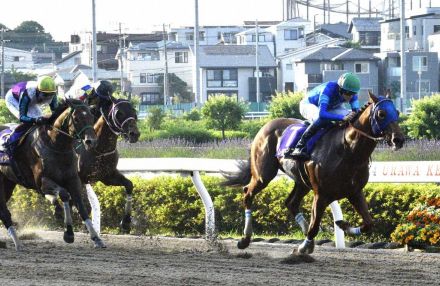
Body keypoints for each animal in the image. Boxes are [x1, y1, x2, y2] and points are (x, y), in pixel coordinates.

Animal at [0, 99, 105, 250]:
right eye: (76, 119)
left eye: (91, 117)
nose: (91, 141)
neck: (56, 146)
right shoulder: (42, 182)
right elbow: (64, 195)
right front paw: (67, 230)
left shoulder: (73, 180)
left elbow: (81, 206)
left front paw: (96, 238)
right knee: (4, 212)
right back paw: (18, 243)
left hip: (8, 183)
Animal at [223, 90, 406, 254]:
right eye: (381, 113)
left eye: (397, 112)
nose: (398, 139)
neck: (348, 151)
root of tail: (266, 125)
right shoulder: (321, 194)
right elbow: (315, 225)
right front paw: (303, 247)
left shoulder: (354, 192)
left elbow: (369, 223)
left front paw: (342, 225)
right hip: (263, 174)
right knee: (248, 193)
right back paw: (245, 239)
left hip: (301, 181)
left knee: (291, 203)